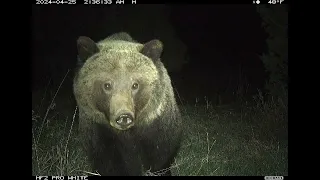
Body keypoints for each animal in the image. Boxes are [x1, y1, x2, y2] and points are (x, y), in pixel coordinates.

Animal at [73, 31, 182, 175]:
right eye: (107, 85)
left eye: (135, 84)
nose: (124, 116)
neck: (127, 133)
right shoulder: (100, 131)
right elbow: (110, 161)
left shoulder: (155, 124)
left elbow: (160, 155)